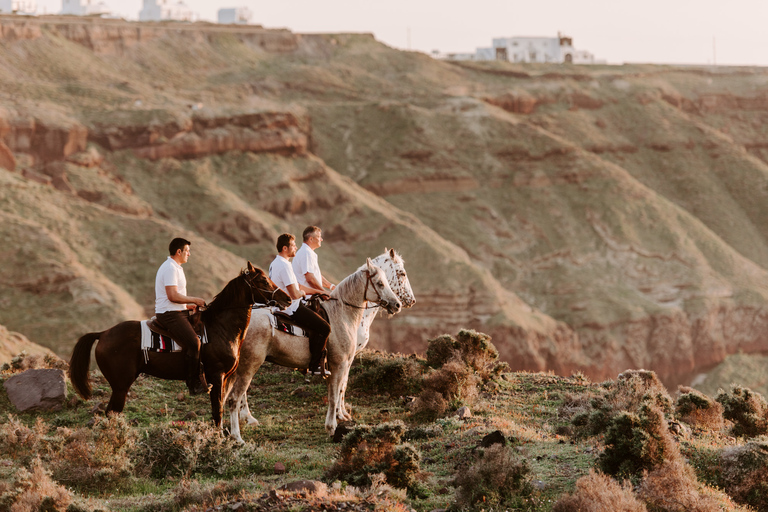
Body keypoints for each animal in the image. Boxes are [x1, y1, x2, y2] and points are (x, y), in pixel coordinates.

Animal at [68, 262, 292, 426]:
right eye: (263, 280)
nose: (287, 299)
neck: (220, 327)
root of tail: (103, 333)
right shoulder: (216, 375)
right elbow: (217, 411)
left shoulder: (227, 377)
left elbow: (221, 408)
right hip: (120, 386)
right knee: (111, 413)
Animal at [225, 260, 400, 440]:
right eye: (380, 283)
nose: (397, 304)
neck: (341, 315)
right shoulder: (339, 364)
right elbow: (334, 395)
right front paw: (331, 427)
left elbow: (336, 392)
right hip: (250, 364)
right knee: (235, 397)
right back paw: (237, 435)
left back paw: (245, 421)